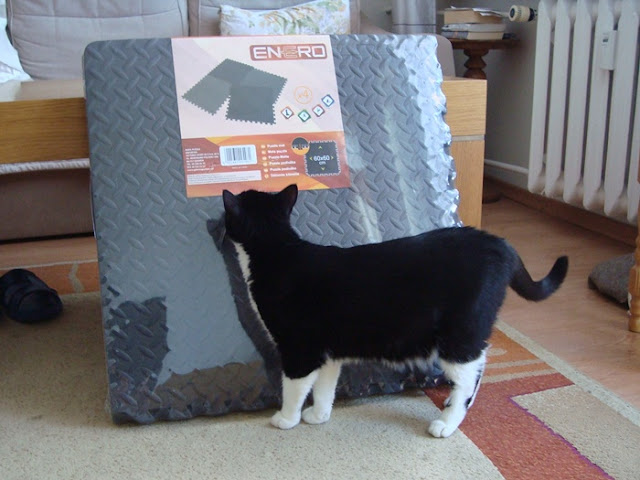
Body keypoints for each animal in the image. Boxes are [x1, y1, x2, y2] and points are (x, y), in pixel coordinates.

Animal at [221, 184, 568, 438]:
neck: (278, 250)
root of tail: (501, 244)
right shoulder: (328, 352)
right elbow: (324, 387)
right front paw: (319, 415)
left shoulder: (299, 350)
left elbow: (294, 387)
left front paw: (286, 418)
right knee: (479, 365)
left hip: (458, 334)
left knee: (469, 375)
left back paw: (447, 422)